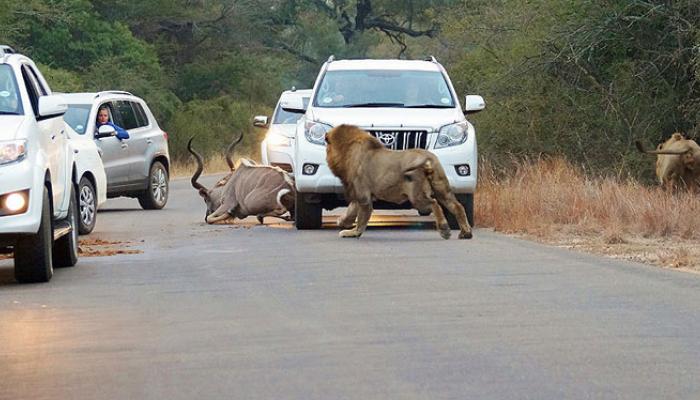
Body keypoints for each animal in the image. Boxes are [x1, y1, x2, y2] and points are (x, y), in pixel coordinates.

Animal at [326, 124, 470, 241]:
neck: (348, 150)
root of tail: (427, 157)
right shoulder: (361, 195)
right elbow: (351, 210)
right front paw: (342, 222)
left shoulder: (363, 196)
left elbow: (361, 218)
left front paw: (353, 232)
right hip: (442, 189)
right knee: (457, 206)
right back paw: (466, 233)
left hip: (416, 195)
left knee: (435, 204)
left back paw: (445, 230)